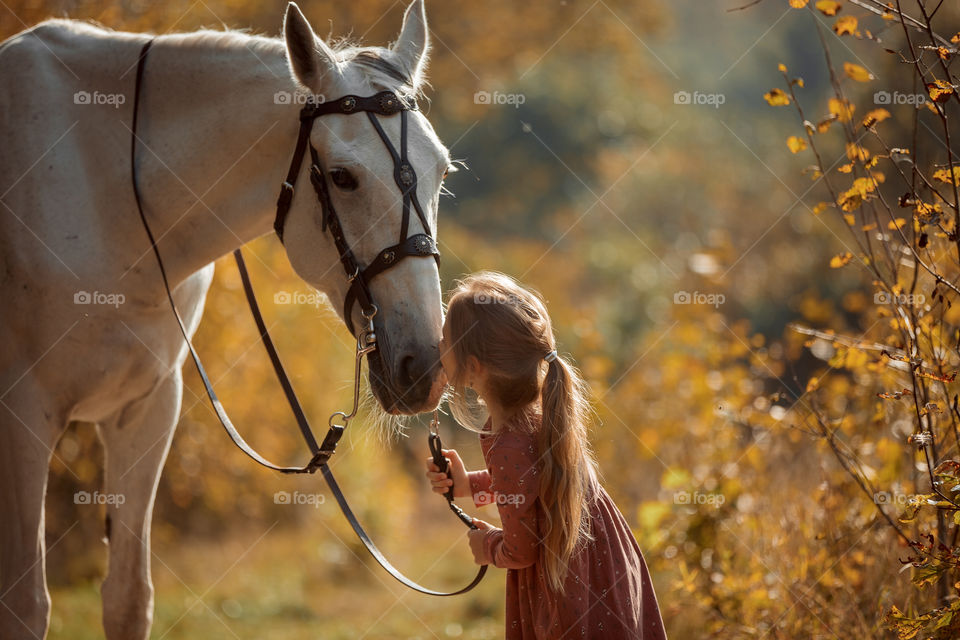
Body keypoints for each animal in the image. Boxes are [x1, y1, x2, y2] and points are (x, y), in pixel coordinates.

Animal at [0, 2, 449, 637]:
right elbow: (25, 603)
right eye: (342, 177)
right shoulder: (23, 415)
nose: (424, 364)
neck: (108, 193)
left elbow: (128, 597)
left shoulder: (146, 411)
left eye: (441, 172)